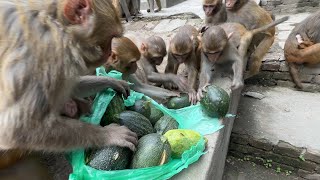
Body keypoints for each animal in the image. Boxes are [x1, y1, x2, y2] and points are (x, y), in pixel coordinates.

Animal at [0, 0, 138, 158]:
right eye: (111, 37)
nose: (110, 53)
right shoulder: (45, 56)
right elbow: (16, 130)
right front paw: (110, 134)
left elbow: (71, 86)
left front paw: (114, 81)